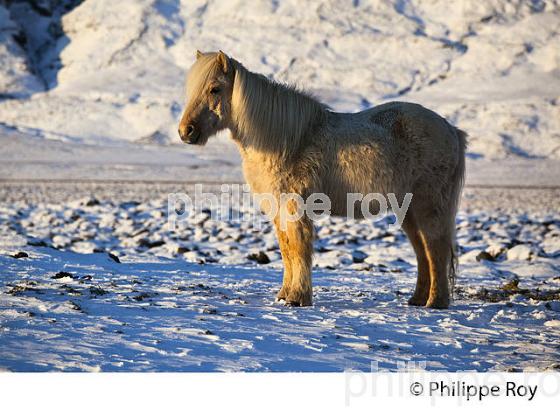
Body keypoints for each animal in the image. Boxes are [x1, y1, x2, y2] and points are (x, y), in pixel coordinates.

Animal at [179, 50, 468, 308]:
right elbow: (286, 249)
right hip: (409, 211)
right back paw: (417, 300)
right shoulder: (278, 208)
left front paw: (298, 298)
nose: (186, 131)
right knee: (423, 252)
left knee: (435, 248)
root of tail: (452, 130)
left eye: (215, 89)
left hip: (428, 206)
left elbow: (299, 249)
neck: (287, 140)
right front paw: (284, 296)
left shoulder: (296, 207)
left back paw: (436, 303)